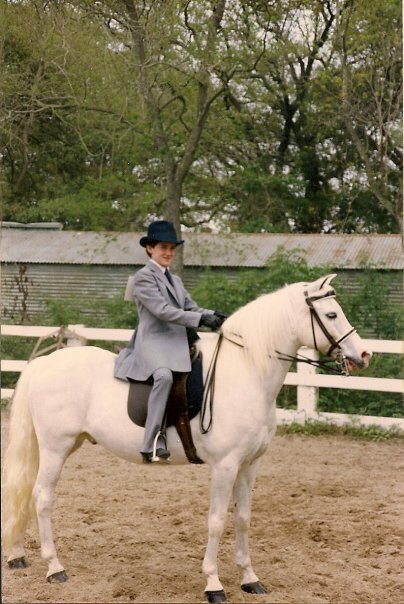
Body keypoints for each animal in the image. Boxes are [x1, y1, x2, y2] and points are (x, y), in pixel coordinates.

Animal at [3, 276, 370, 600]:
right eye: (331, 314)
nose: (364, 355)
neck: (246, 372)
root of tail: (43, 363)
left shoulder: (249, 465)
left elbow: (242, 519)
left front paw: (250, 578)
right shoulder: (225, 466)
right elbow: (217, 521)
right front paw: (213, 584)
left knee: (26, 495)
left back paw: (18, 555)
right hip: (56, 447)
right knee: (42, 497)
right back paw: (54, 567)